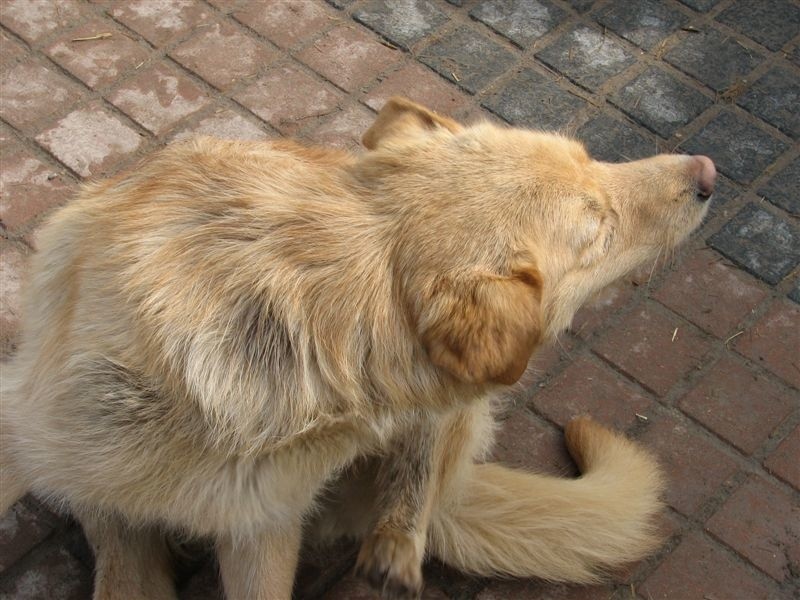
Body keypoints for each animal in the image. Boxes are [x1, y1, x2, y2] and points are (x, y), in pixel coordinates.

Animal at [0, 99, 712, 600]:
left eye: (592, 158)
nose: (708, 172)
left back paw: (399, 535)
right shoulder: (22, 434)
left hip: (456, 414)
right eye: (599, 228)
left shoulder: (262, 530)